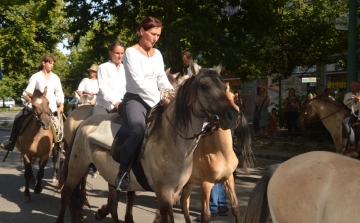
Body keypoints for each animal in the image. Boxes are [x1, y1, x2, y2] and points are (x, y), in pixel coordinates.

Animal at [55, 63, 239, 222]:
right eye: (205, 86)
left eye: (225, 88)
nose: (233, 115)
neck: (173, 141)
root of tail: (83, 123)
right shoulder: (164, 194)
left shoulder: (174, 192)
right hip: (78, 166)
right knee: (67, 194)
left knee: (112, 203)